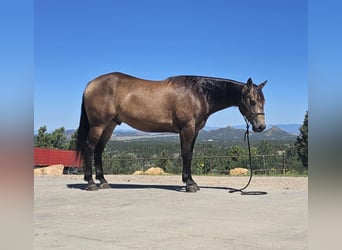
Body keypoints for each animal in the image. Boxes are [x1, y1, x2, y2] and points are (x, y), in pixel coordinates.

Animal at [75, 72, 268, 191]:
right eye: (251, 101)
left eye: (263, 101)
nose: (261, 127)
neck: (198, 93)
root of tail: (90, 84)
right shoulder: (186, 129)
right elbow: (186, 154)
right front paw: (189, 184)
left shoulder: (194, 131)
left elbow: (189, 154)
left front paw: (190, 181)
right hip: (98, 125)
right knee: (90, 148)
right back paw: (91, 183)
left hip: (109, 125)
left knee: (99, 150)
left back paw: (103, 181)